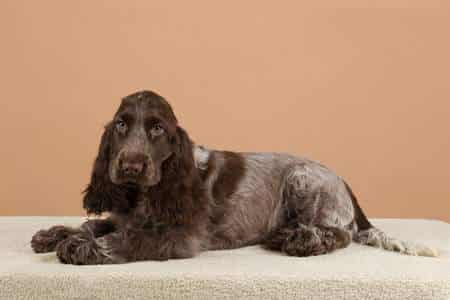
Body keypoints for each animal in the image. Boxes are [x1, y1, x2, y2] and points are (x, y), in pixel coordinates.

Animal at [30, 90, 436, 264]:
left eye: (158, 128)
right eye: (120, 125)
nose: (130, 166)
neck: (147, 194)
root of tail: (345, 182)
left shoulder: (179, 237)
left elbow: (128, 239)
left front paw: (79, 247)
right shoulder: (122, 215)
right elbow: (95, 224)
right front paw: (57, 234)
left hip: (303, 178)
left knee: (339, 235)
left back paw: (297, 240)